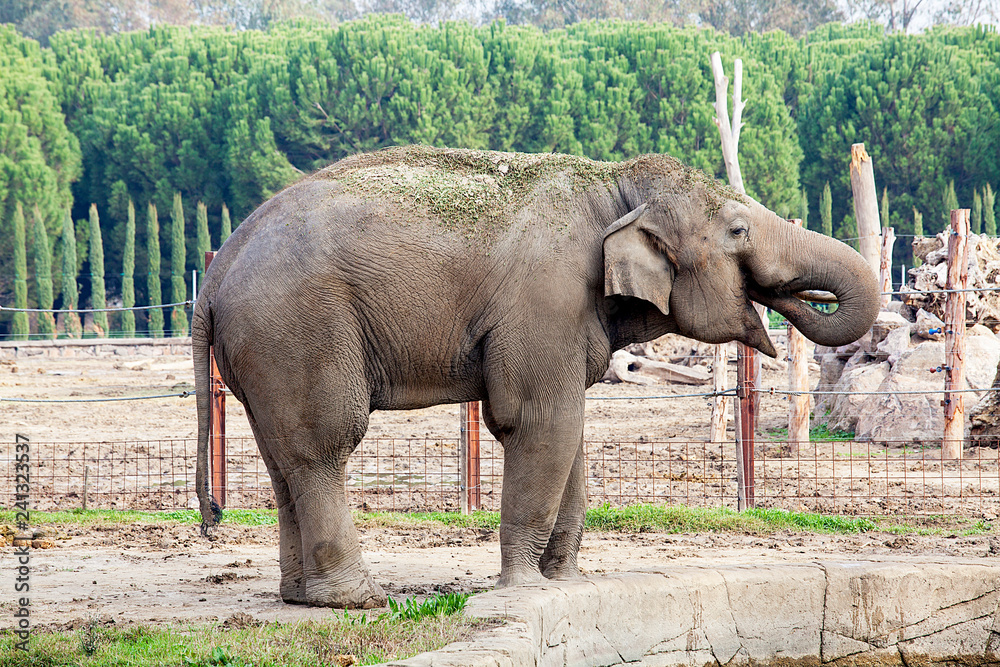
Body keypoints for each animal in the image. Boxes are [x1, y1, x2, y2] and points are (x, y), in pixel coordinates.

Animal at [194, 145, 879, 608]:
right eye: (737, 231)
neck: (614, 186)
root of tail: (219, 266)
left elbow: (569, 430)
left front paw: (565, 580)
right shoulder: (547, 300)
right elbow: (537, 421)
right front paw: (525, 587)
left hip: (264, 349)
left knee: (282, 456)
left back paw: (299, 597)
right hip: (299, 326)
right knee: (324, 444)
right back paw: (357, 599)